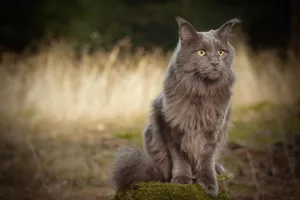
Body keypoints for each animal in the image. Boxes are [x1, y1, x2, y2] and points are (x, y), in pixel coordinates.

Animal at [112, 16, 241, 197]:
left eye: (221, 52)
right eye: (201, 52)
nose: (215, 62)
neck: (200, 91)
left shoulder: (214, 130)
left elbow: (206, 158)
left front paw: (209, 183)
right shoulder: (172, 128)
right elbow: (181, 158)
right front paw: (181, 179)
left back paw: (217, 169)